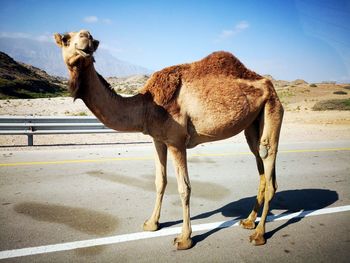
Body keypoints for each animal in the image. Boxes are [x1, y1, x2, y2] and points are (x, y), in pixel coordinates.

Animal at [55, 29, 284, 251]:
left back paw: (259, 235)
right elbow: (160, 181)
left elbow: (184, 188)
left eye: (90, 39)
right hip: (252, 125)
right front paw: (151, 223)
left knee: (269, 162)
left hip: (273, 109)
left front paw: (184, 239)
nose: (86, 38)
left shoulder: (176, 141)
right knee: (260, 165)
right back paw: (248, 221)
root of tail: (270, 85)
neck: (146, 106)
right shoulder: (158, 140)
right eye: (66, 39)